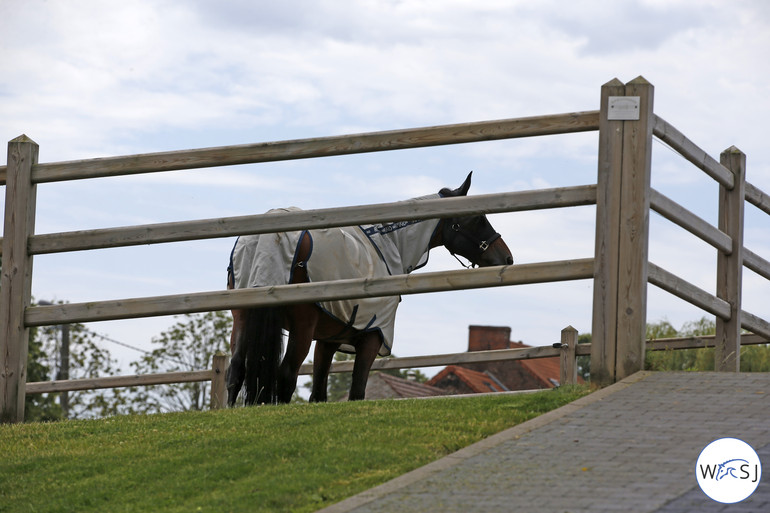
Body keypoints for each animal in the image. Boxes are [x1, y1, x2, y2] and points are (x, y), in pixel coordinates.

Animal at [224, 172, 510, 404]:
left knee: (235, 370)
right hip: (301, 328)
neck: (390, 243)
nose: (506, 257)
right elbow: (357, 391)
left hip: (243, 319)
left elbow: (319, 394)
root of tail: (271, 237)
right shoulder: (373, 337)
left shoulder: (328, 340)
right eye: (478, 217)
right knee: (285, 376)